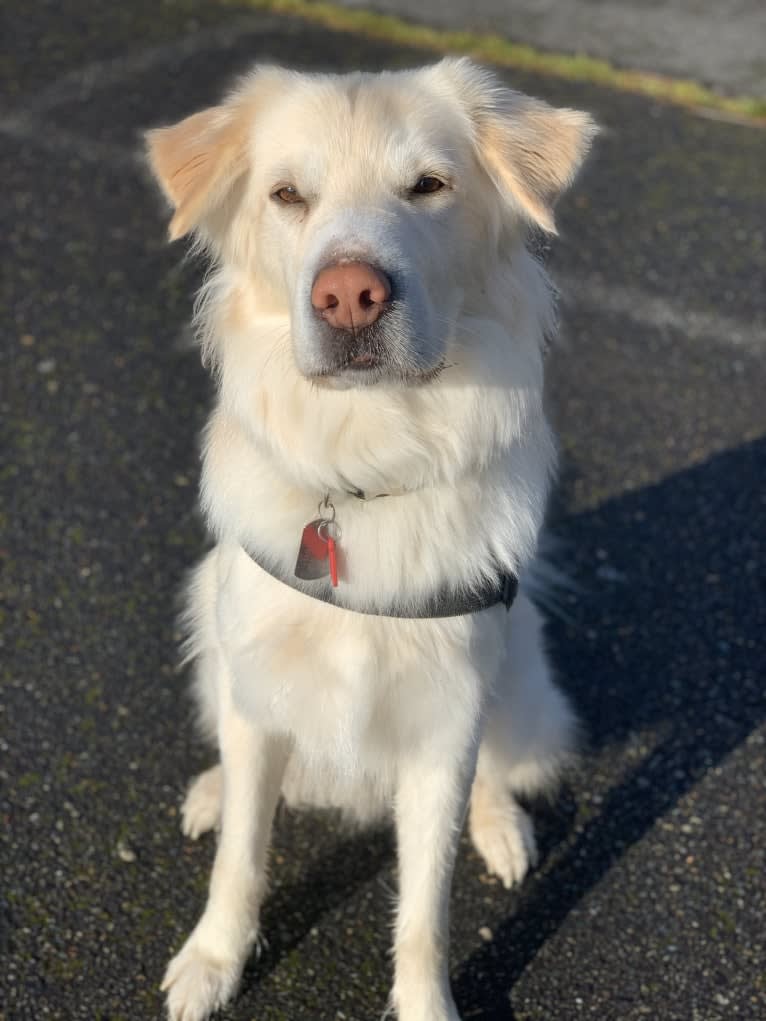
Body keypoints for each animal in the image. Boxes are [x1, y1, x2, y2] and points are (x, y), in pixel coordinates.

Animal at [145, 57, 600, 1021]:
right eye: (286, 194)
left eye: (429, 185)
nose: (350, 294)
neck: (366, 464)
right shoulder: (260, 687)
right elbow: (240, 858)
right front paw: (212, 960)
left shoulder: (443, 725)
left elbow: (426, 906)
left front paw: (427, 1001)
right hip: (210, 628)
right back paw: (211, 790)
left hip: (518, 673)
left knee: (503, 765)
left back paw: (503, 827)